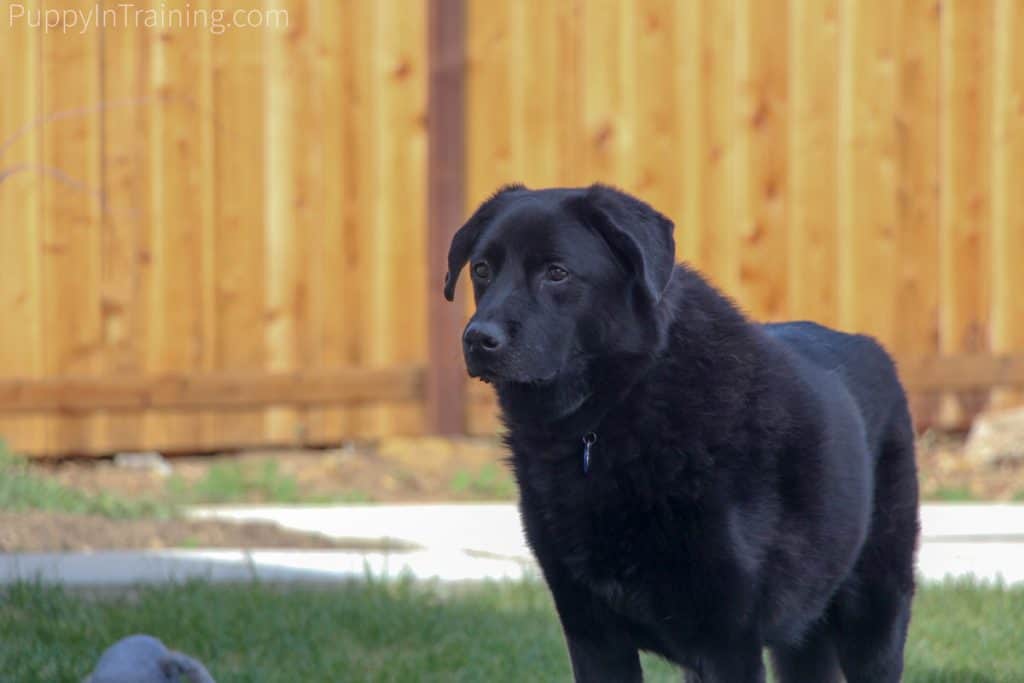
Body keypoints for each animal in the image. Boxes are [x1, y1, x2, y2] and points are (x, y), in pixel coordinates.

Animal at [446, 184, 921, 679]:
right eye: (482, 270)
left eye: (556, 273)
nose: (478, 339)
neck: (611, 415)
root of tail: (873, 348)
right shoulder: (592, 632)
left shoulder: (727, 642)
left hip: (875, 618)